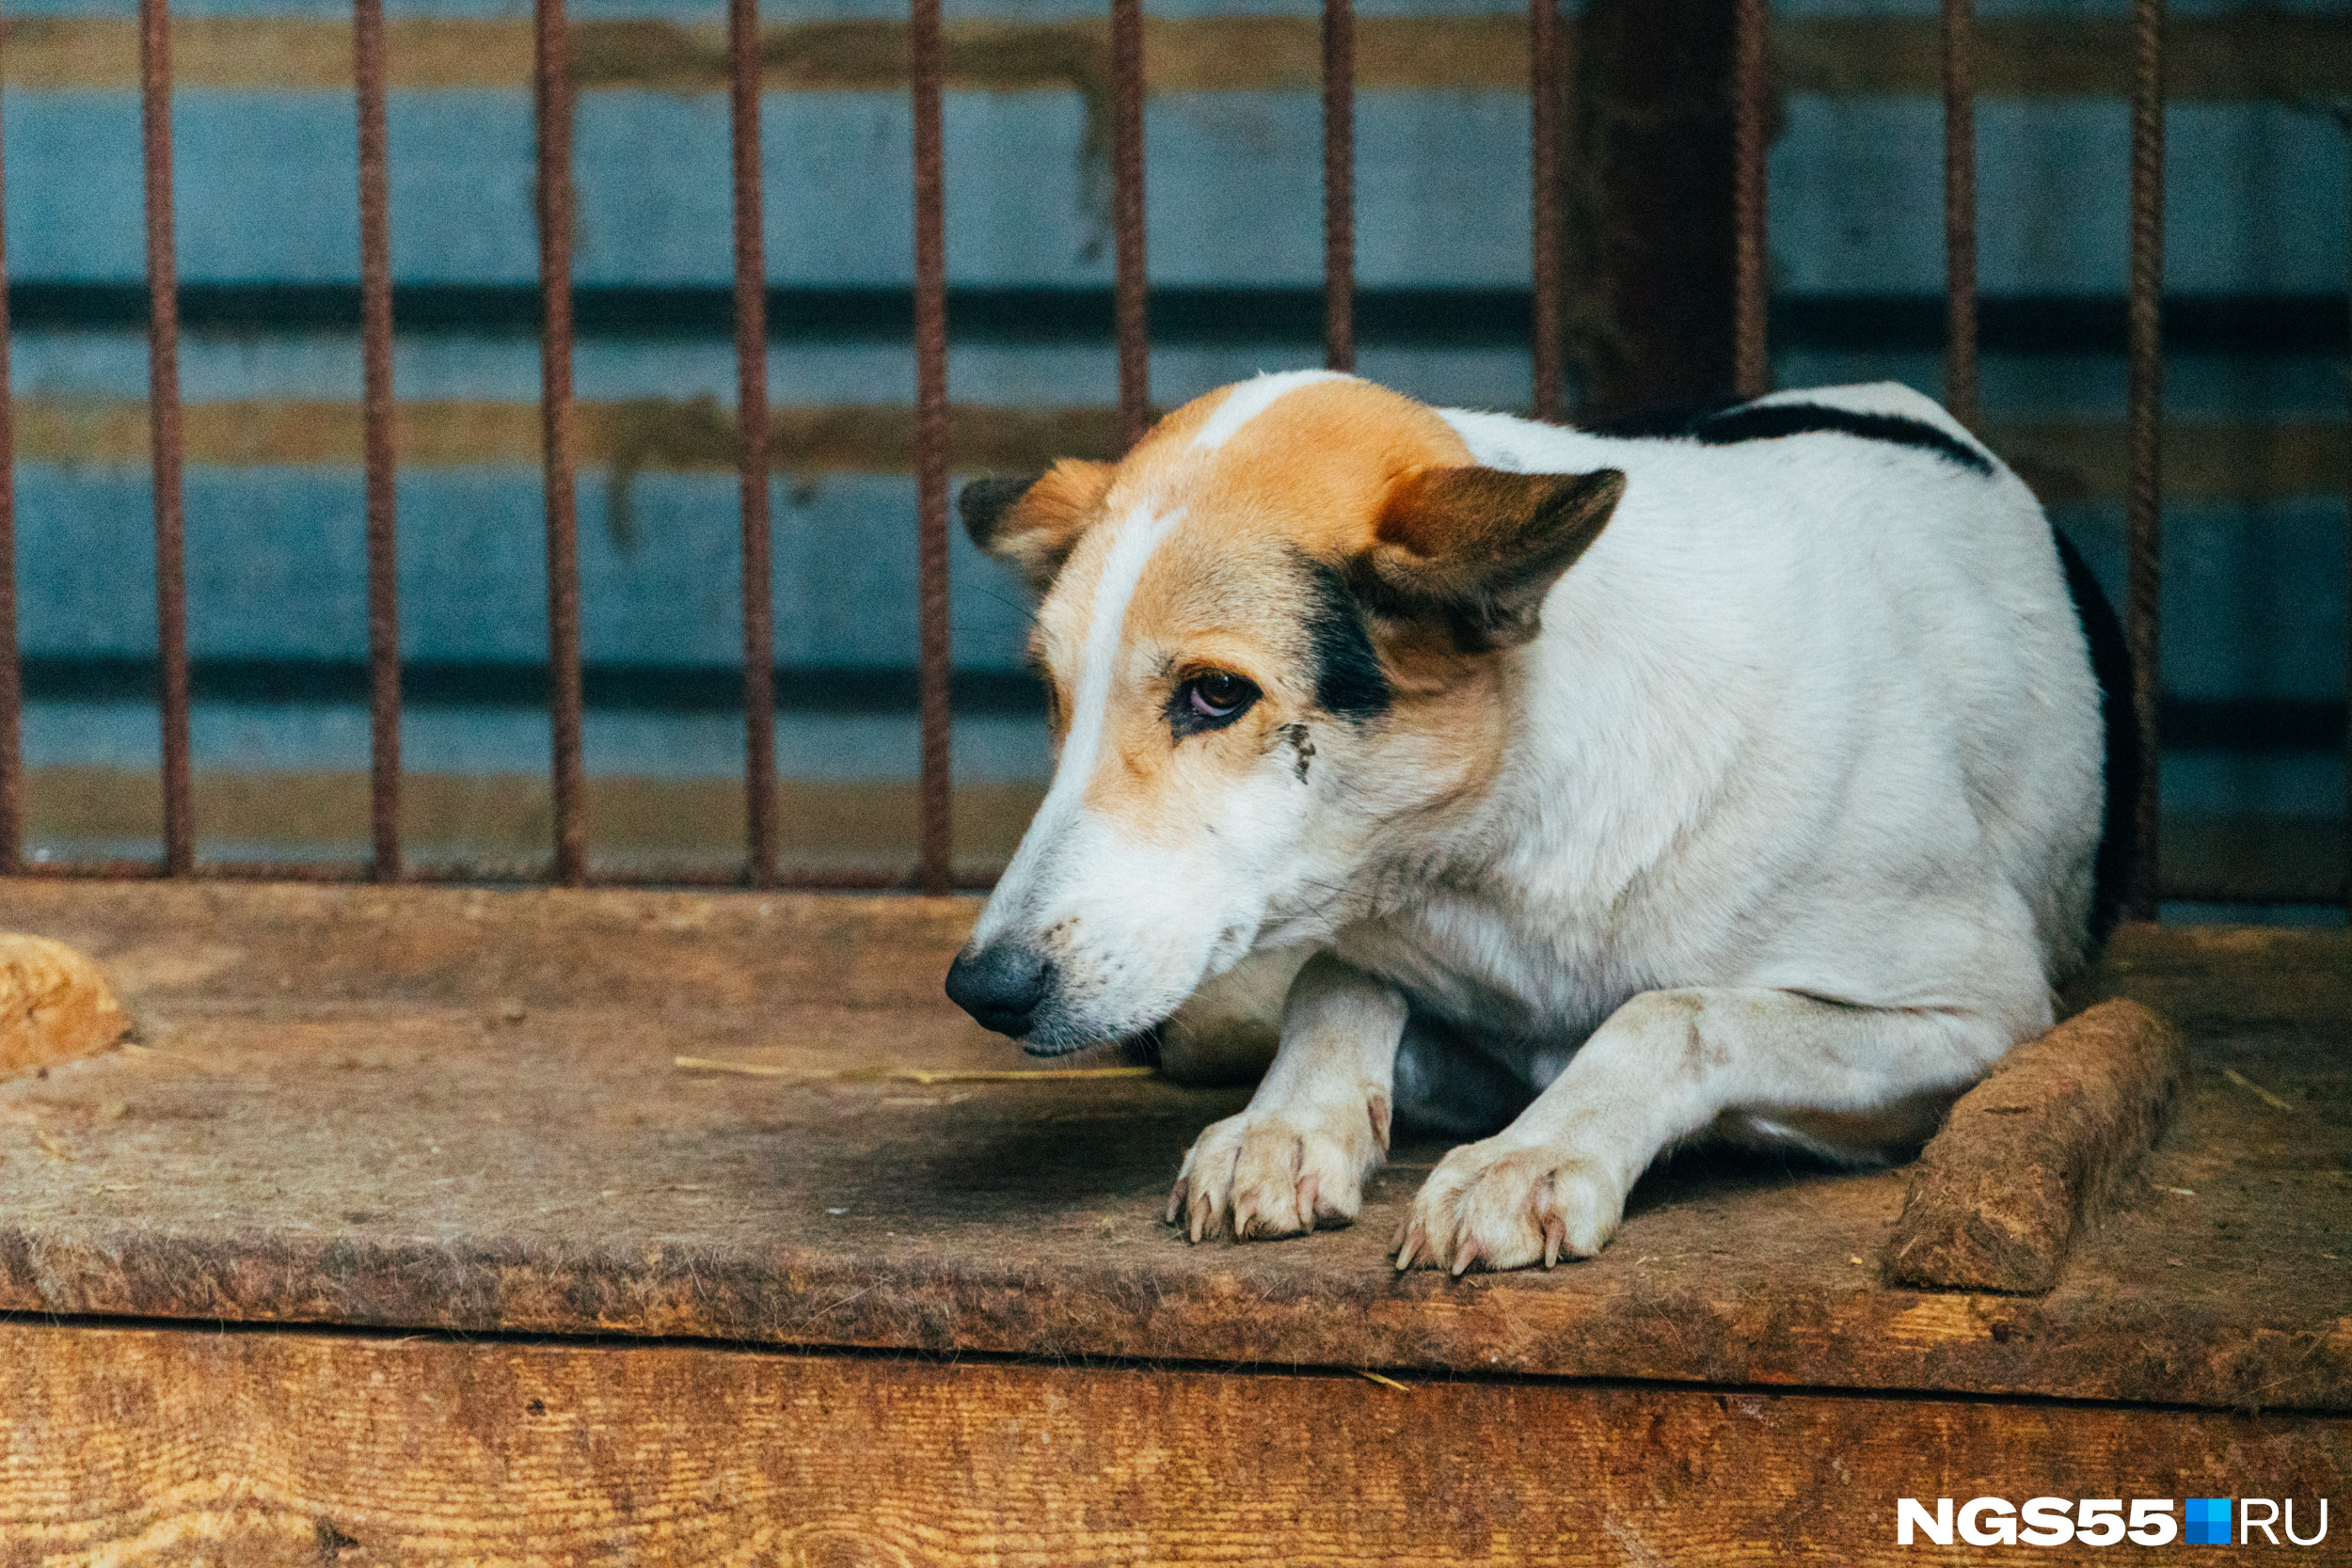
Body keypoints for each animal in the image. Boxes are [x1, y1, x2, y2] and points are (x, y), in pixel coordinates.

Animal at [936, 371, 2136, 1278]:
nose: (983, 991)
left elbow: (1674, 1012)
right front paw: (1285, 1126)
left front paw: (1530, 1156)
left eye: (1217, 694)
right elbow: (1336, 980)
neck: (1505, 843)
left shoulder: (1978, 1012)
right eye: (1054, 696)